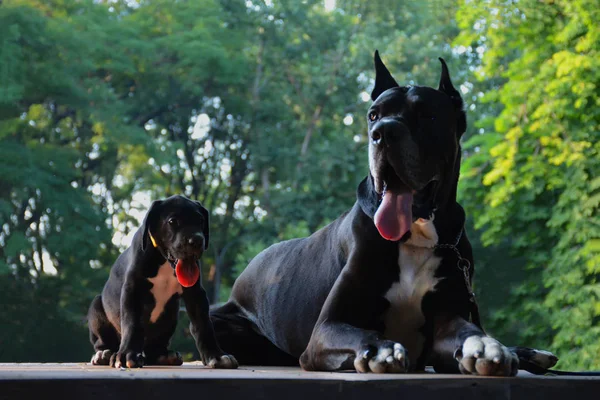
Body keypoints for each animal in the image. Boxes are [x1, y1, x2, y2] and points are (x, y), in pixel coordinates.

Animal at [88, 194, 238, 368]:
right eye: (172, 221)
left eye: (200, 220)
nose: (197, 241)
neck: (164, 260)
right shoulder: (132, 290)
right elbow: (131, 323)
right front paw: (126, 355)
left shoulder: (196, 293)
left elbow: (203, 324)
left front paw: (217, 356)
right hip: (96, 307)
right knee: (102, 341)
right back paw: (103, 354)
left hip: (171, 314)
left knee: (153, 350)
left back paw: (164, 355)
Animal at [211, 52, 556, 376]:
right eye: (373, 115)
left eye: (428, 115)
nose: (383, 132)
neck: (417, 236)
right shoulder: (327, 328)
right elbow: (361, 334)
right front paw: (380, 349)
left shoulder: (444, 326)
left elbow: (467, 330)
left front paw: (485, 345)